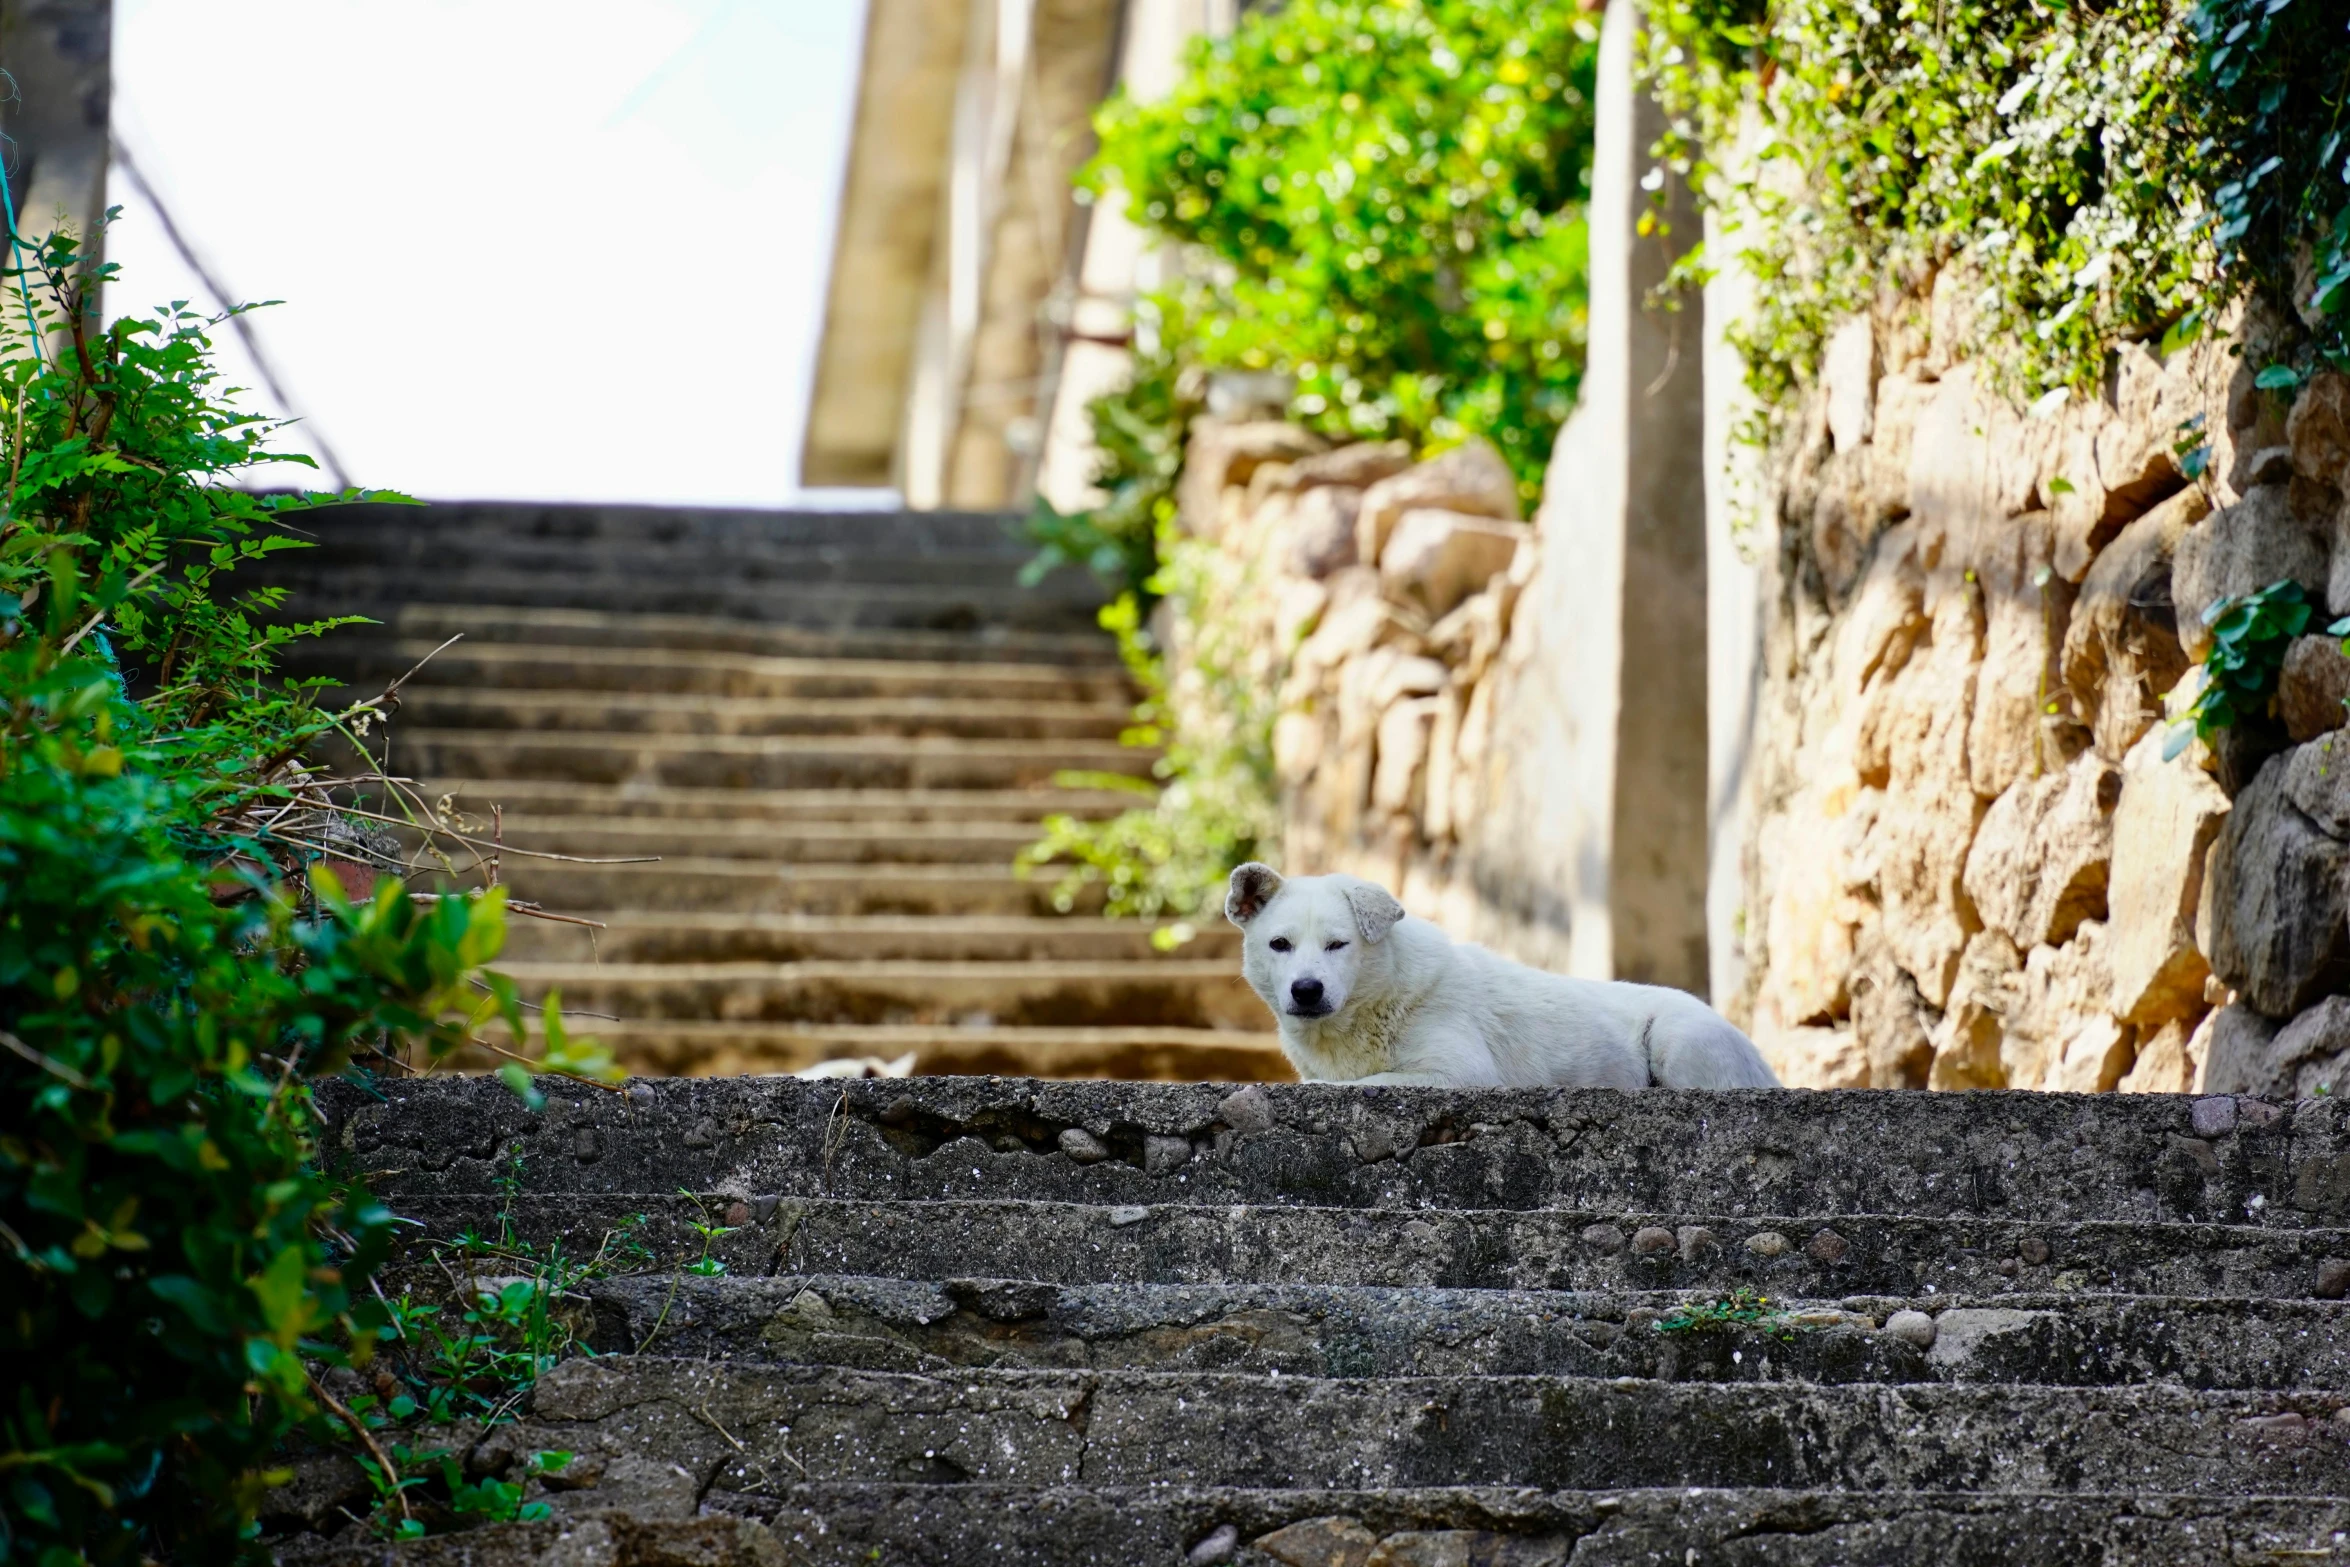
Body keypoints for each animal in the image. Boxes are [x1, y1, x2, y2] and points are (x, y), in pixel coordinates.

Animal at [1231, 864, 1776, 1085]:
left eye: (1337, 944)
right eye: (1279, 944)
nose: (1306, 990)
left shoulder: (1460, 1072)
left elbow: (1356, 1084)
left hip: (1680, 1039)